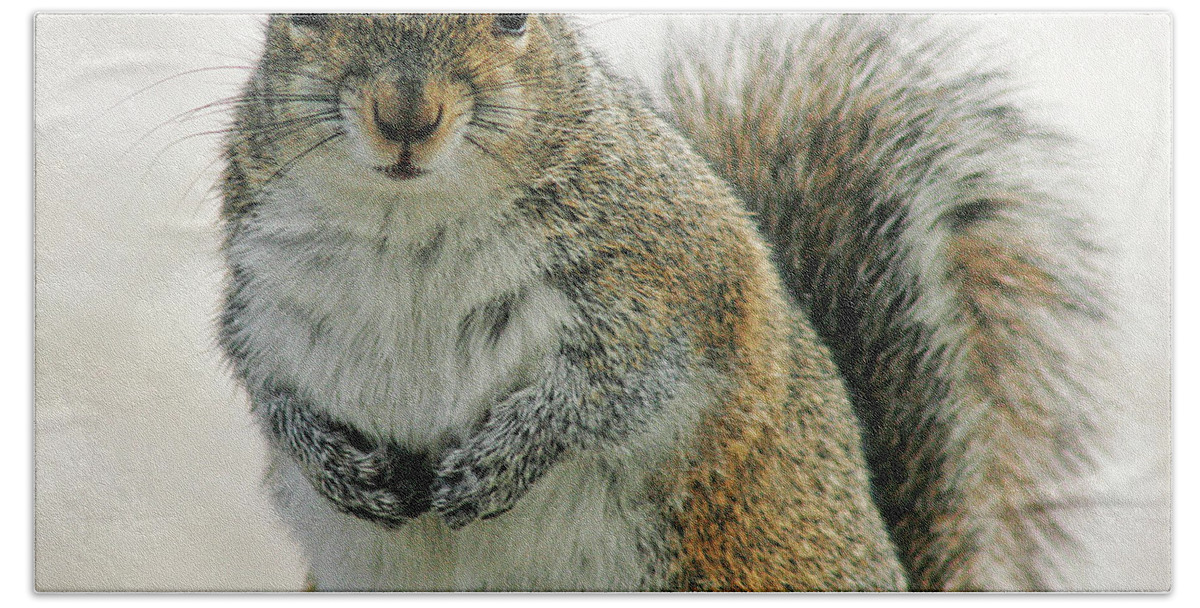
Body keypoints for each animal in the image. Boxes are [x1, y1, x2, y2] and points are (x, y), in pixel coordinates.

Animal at [213, 13, 1104, 594]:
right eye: (304, 13)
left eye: (512, 18)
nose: (406, 116)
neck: (410, 224)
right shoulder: (257, 298)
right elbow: (267, 389)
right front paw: (328, 460)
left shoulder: (683, 285)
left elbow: (615, 392)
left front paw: (508, 457)